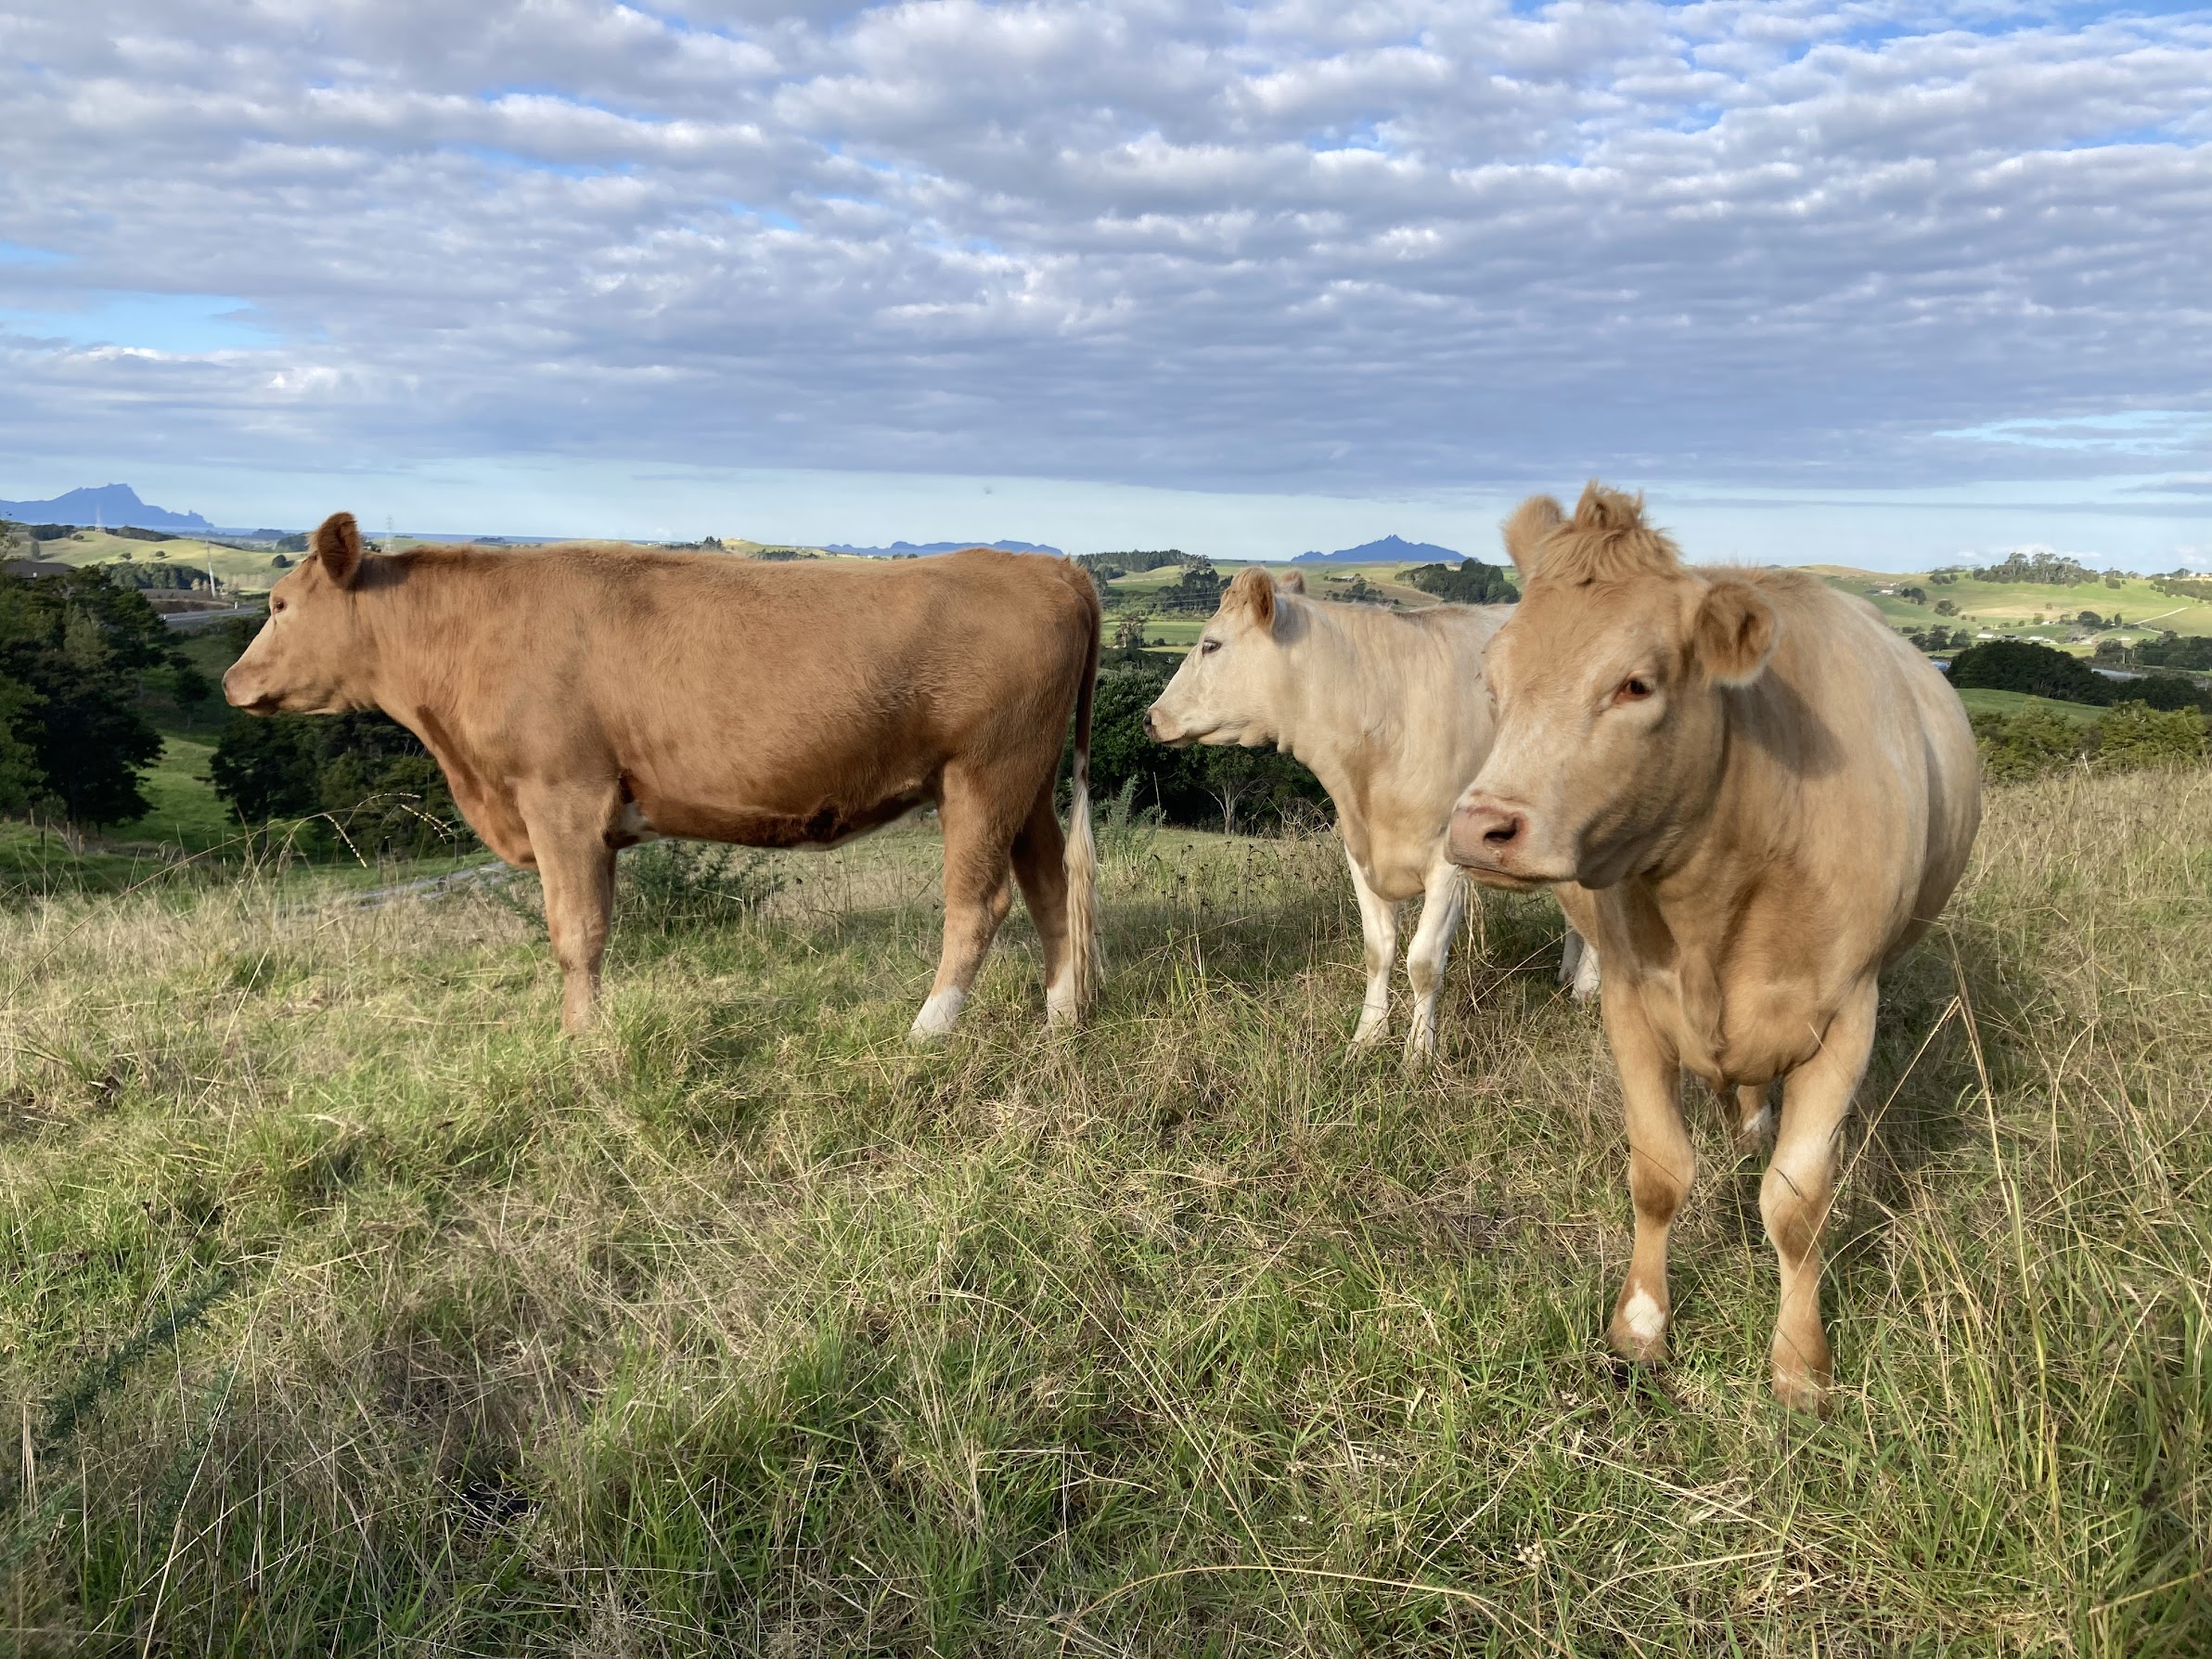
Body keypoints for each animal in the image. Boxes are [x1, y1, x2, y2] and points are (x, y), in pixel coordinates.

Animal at [223, 513, 1103, 1042]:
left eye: (278, 604)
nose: (232, 682)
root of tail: (1050, 568)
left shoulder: (561, 797)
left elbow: (575, 933)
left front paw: (581, 1045)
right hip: (1026, 782)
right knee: (1050, 883)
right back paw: (1061, 1019)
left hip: (984, 773)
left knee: (980, 904)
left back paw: (929, 1030)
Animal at [1144, 566, 1597, 1058]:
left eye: (1211, 644)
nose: (1150, 718)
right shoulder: (1359, 851)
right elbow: (1377, 951)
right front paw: (1366, 1039)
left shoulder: (1448, 862)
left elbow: (1424, 962)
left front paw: (1419, 1054)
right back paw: (1569, 977)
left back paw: (1587, 989)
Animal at [1446, 485, 1981, 1414]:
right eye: (1496, 681)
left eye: (1636, 683)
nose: (1480, 828)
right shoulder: (1630, 1000)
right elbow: (1658, 1173)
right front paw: (1640, 1329)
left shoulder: (1848, 1016)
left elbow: (1797, 1202)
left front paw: (1801, 1366)